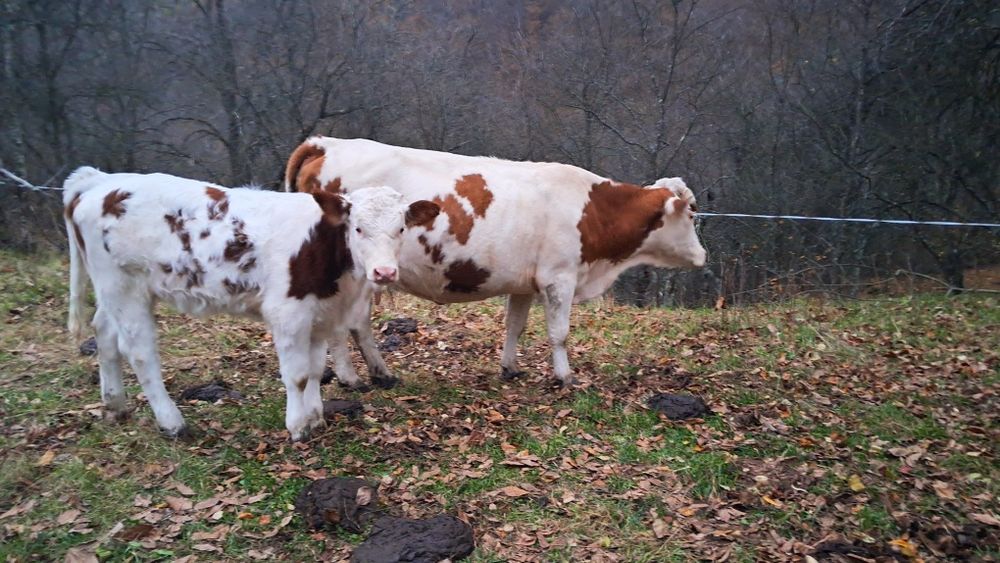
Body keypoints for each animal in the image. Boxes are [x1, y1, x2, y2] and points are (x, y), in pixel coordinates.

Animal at [63, 166, 439, 440]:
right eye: (358, 228)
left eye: (401, 228)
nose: (384, 272)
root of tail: (98, 182)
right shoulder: (288, 312)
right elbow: (297, 374)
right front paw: (298, 427)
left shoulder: (319, 313)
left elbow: (316, 369)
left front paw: (316, 417)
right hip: (124, 286)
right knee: (140, 353)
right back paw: (172, 423)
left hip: (113, 290)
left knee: (104, 335)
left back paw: (115, 405)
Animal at [285, 137, 707, 388]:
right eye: (692, 212)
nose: (703, 256)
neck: (592, 210)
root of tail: (327, 143)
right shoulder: (559, 278)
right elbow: (559, 333)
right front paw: (565, 377)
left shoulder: (525, 283)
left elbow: (514, 326)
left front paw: (511, 367)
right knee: (343, 327)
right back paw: (351, 377)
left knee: (357, 326)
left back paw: (379, 373)